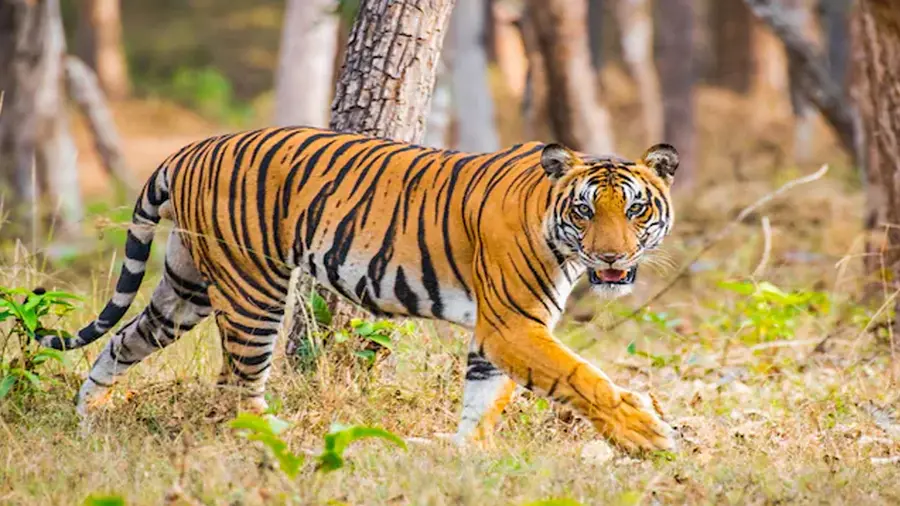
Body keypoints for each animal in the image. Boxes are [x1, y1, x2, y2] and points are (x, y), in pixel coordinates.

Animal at [34, 126, 679, 453]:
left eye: (636, 209)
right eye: (586, 210)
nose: (612, 256)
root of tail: (189, 148)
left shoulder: (498, 332)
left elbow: (483, 399)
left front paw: (465, 458)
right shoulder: (512, 324)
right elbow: (581, 377)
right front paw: (648, 434)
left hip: (185, 287)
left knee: (121, 342)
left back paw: (87, 419)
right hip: (254, 289)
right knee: (236, 385)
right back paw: (278, 440)